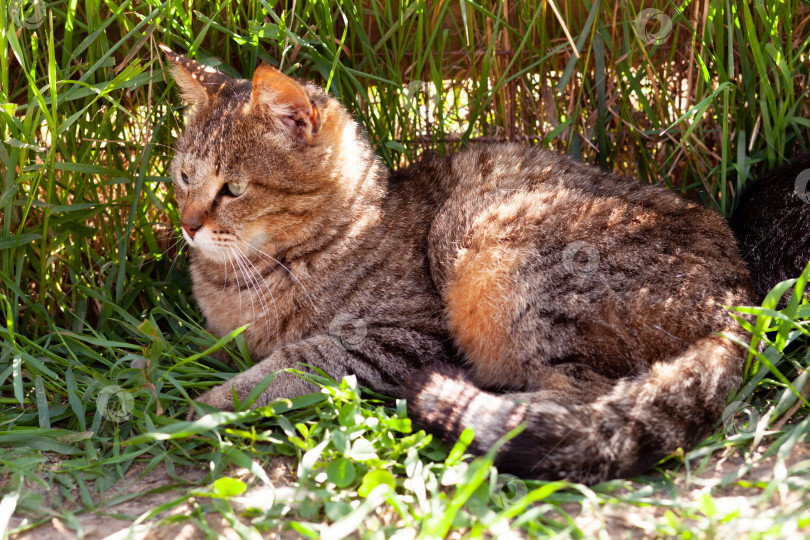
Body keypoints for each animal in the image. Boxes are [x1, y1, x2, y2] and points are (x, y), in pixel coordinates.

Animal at [161, 46, 756, 484]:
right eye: (184, 176)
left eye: (234, 189)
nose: (188, 224)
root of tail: (739, 298)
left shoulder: (402, 334)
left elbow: (296, 361)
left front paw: (209, 404)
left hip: (490, 242)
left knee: (579, 400)